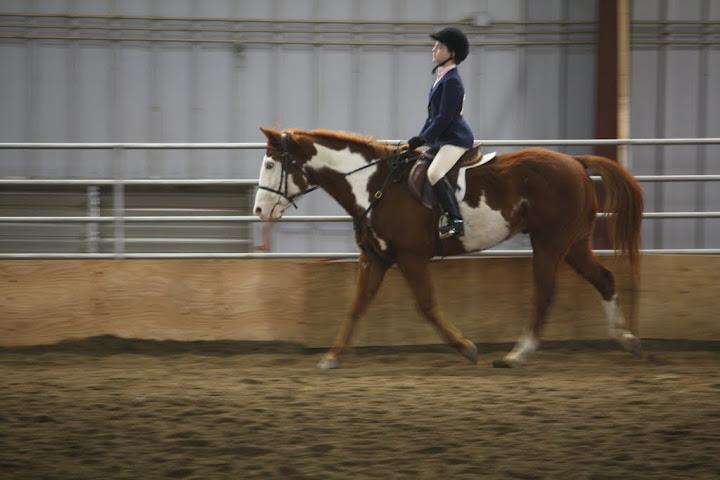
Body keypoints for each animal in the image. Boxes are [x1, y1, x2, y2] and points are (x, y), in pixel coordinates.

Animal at [253, 127, 645, 369]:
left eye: (271, 163)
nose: (258, 211)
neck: (374, 184)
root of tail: (575, 163)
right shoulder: (375, 258)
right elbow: (356, 305)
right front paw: (332, 357)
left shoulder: (410, 257)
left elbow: (426, 306)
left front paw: (467, 348)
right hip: (574, 244)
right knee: (605, 280)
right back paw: (626, 340)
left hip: (549, 244)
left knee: (545, 293)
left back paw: (517, 356)